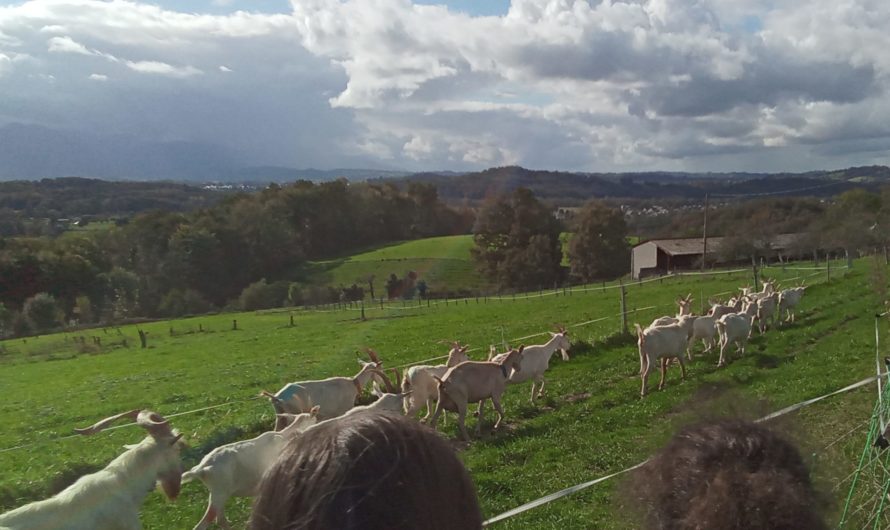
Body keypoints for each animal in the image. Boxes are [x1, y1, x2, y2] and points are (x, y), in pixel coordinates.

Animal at [183, 406, 320, 524]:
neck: (286, 436)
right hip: (219, 491)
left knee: (219, 520)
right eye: (314, 419)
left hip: (218, 494)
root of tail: (201, 469)